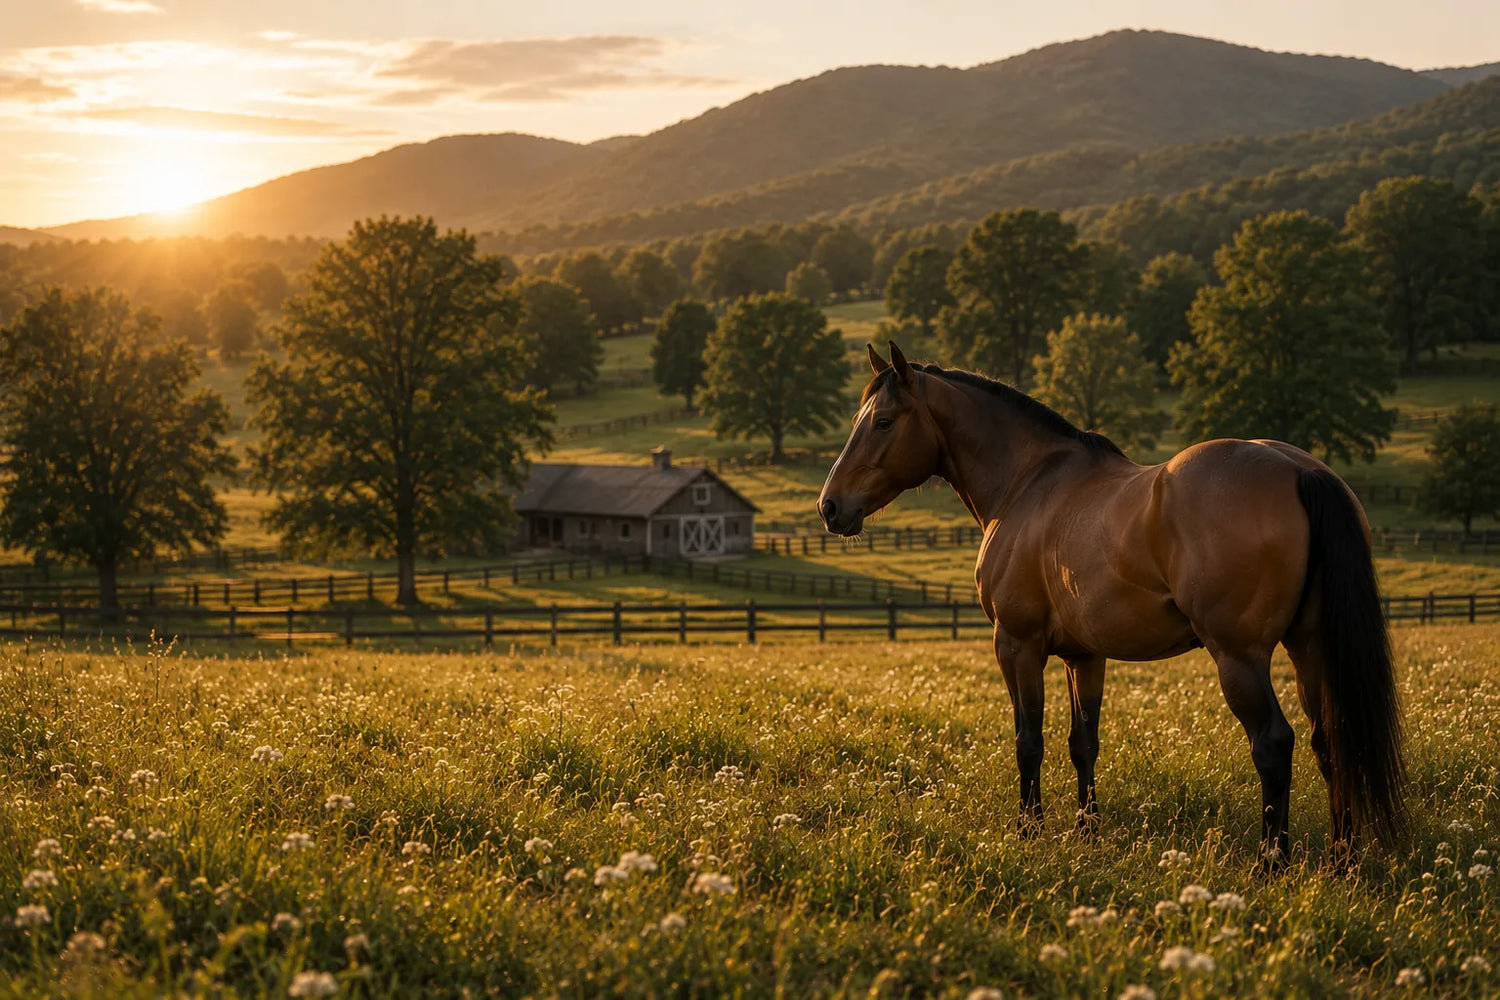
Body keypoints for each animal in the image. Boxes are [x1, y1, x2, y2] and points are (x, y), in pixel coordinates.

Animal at [817, 342, 1404, 861]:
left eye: (883, 422)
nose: (830, 507)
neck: (1027, 484)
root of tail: (1301, 470)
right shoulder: (1085, 655)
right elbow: (1083, 742)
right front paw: (1086, 830)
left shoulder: (1016, 645)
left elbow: (1028, 740)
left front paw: (1030, 831)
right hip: (1310, 648)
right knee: (1330, 742)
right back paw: (1342, 857)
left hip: (1240, 657)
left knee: (1274, 744)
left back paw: (1272, 861)